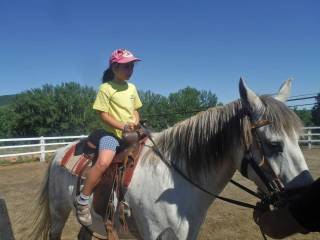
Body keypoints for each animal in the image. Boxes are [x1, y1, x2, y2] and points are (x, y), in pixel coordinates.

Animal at [28, 79, 314, 240]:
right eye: (274, 144)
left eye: (299, 138)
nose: (303, 196)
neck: (176, 179)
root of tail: (60, 153)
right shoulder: (155, 234)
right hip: (58, 212)